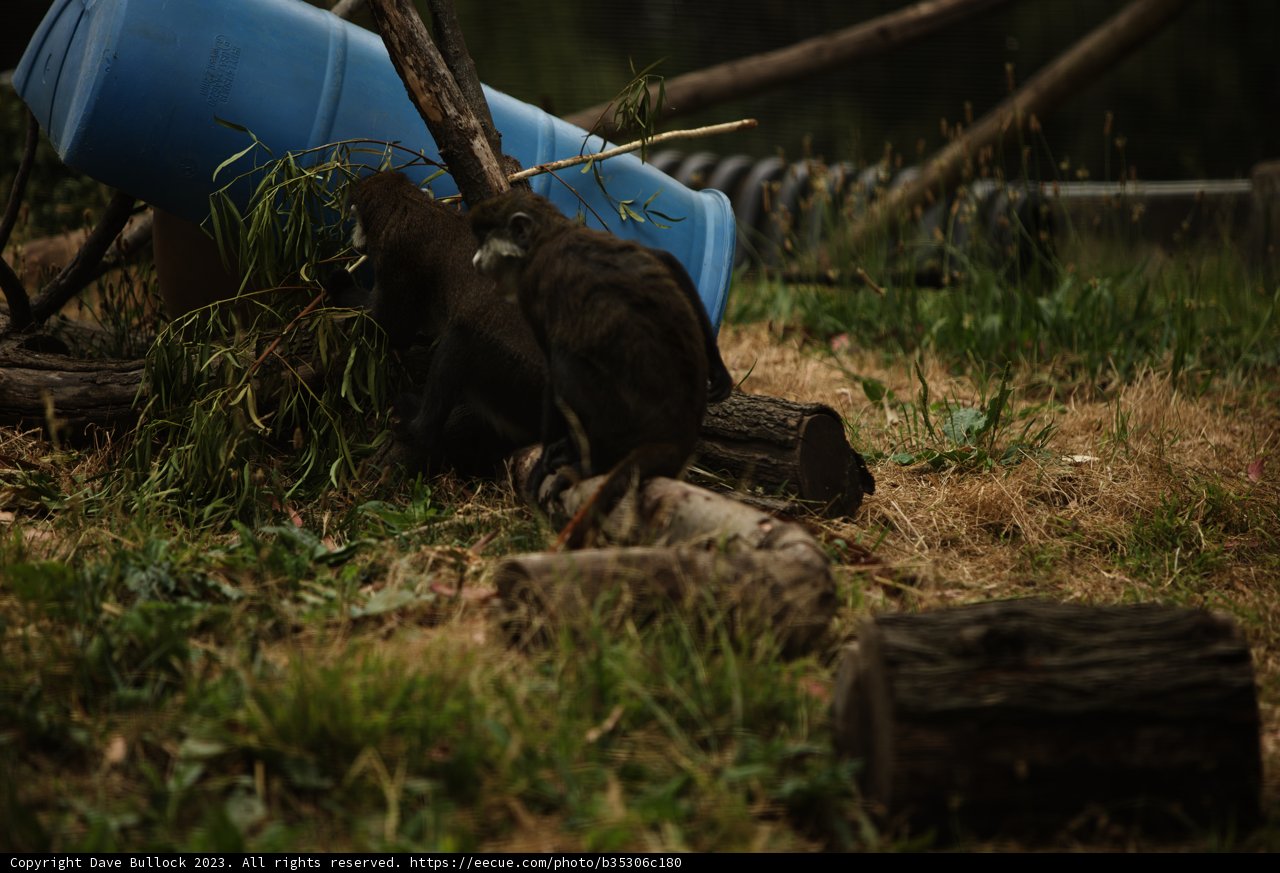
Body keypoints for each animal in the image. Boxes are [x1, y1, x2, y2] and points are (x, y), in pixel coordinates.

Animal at [347, 171, 546, 475]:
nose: (355, 240)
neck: (409, 203)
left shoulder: (396, 256)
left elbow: (392, 330)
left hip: (511, 369)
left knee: (457, 345)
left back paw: (417, 426)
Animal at [468, 188, 734, 542]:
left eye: (484, 239)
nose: (476, 261)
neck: (550, 235)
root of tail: (676, 438)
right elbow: (664, 259)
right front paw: (719, 369)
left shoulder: (534, 282)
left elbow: (552, 366)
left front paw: (545, 460)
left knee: (565, 360)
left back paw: (586, 463)